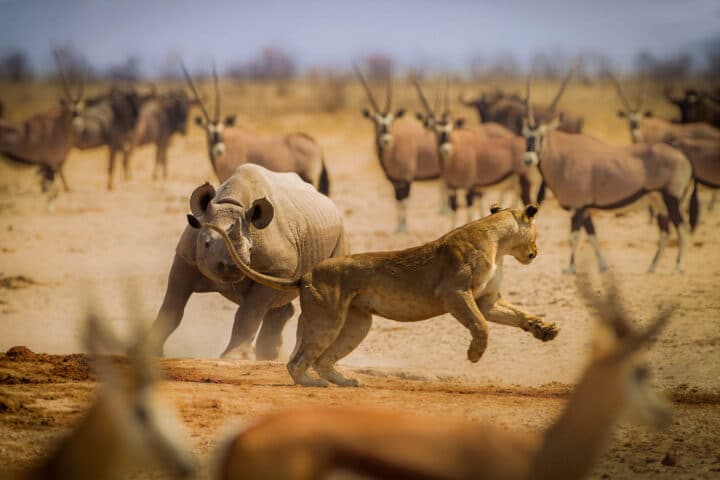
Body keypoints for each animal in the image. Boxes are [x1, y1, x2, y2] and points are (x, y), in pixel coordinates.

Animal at [214, 274, 676, 480]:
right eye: (641, 371)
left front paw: (544, 328)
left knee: (315, 358)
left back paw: (342, 381)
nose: (665, 415)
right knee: (298, 361)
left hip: (359, 319)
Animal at [352, 67, 438, 232]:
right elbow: (398, 202)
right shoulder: (395, 181)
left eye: (392, 120)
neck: (393, 149)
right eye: (375, 121)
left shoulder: (406, 179)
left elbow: (403, 201)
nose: (386, 140)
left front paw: (403, 228)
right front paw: (398, 227)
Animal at [524, 66, 696, 274]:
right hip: (658, 201)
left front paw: (570, 268)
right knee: (666, 230)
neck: (561, 157)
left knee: (682, 228)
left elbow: (574, 236)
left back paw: (679, 266)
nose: (529, 158)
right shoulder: (585, 208)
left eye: (541, 135)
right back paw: (652, 266)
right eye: (525, 134)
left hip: (672, 198)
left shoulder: (579, 207)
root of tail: (684, 157)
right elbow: (592, 235)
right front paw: (603, 265)